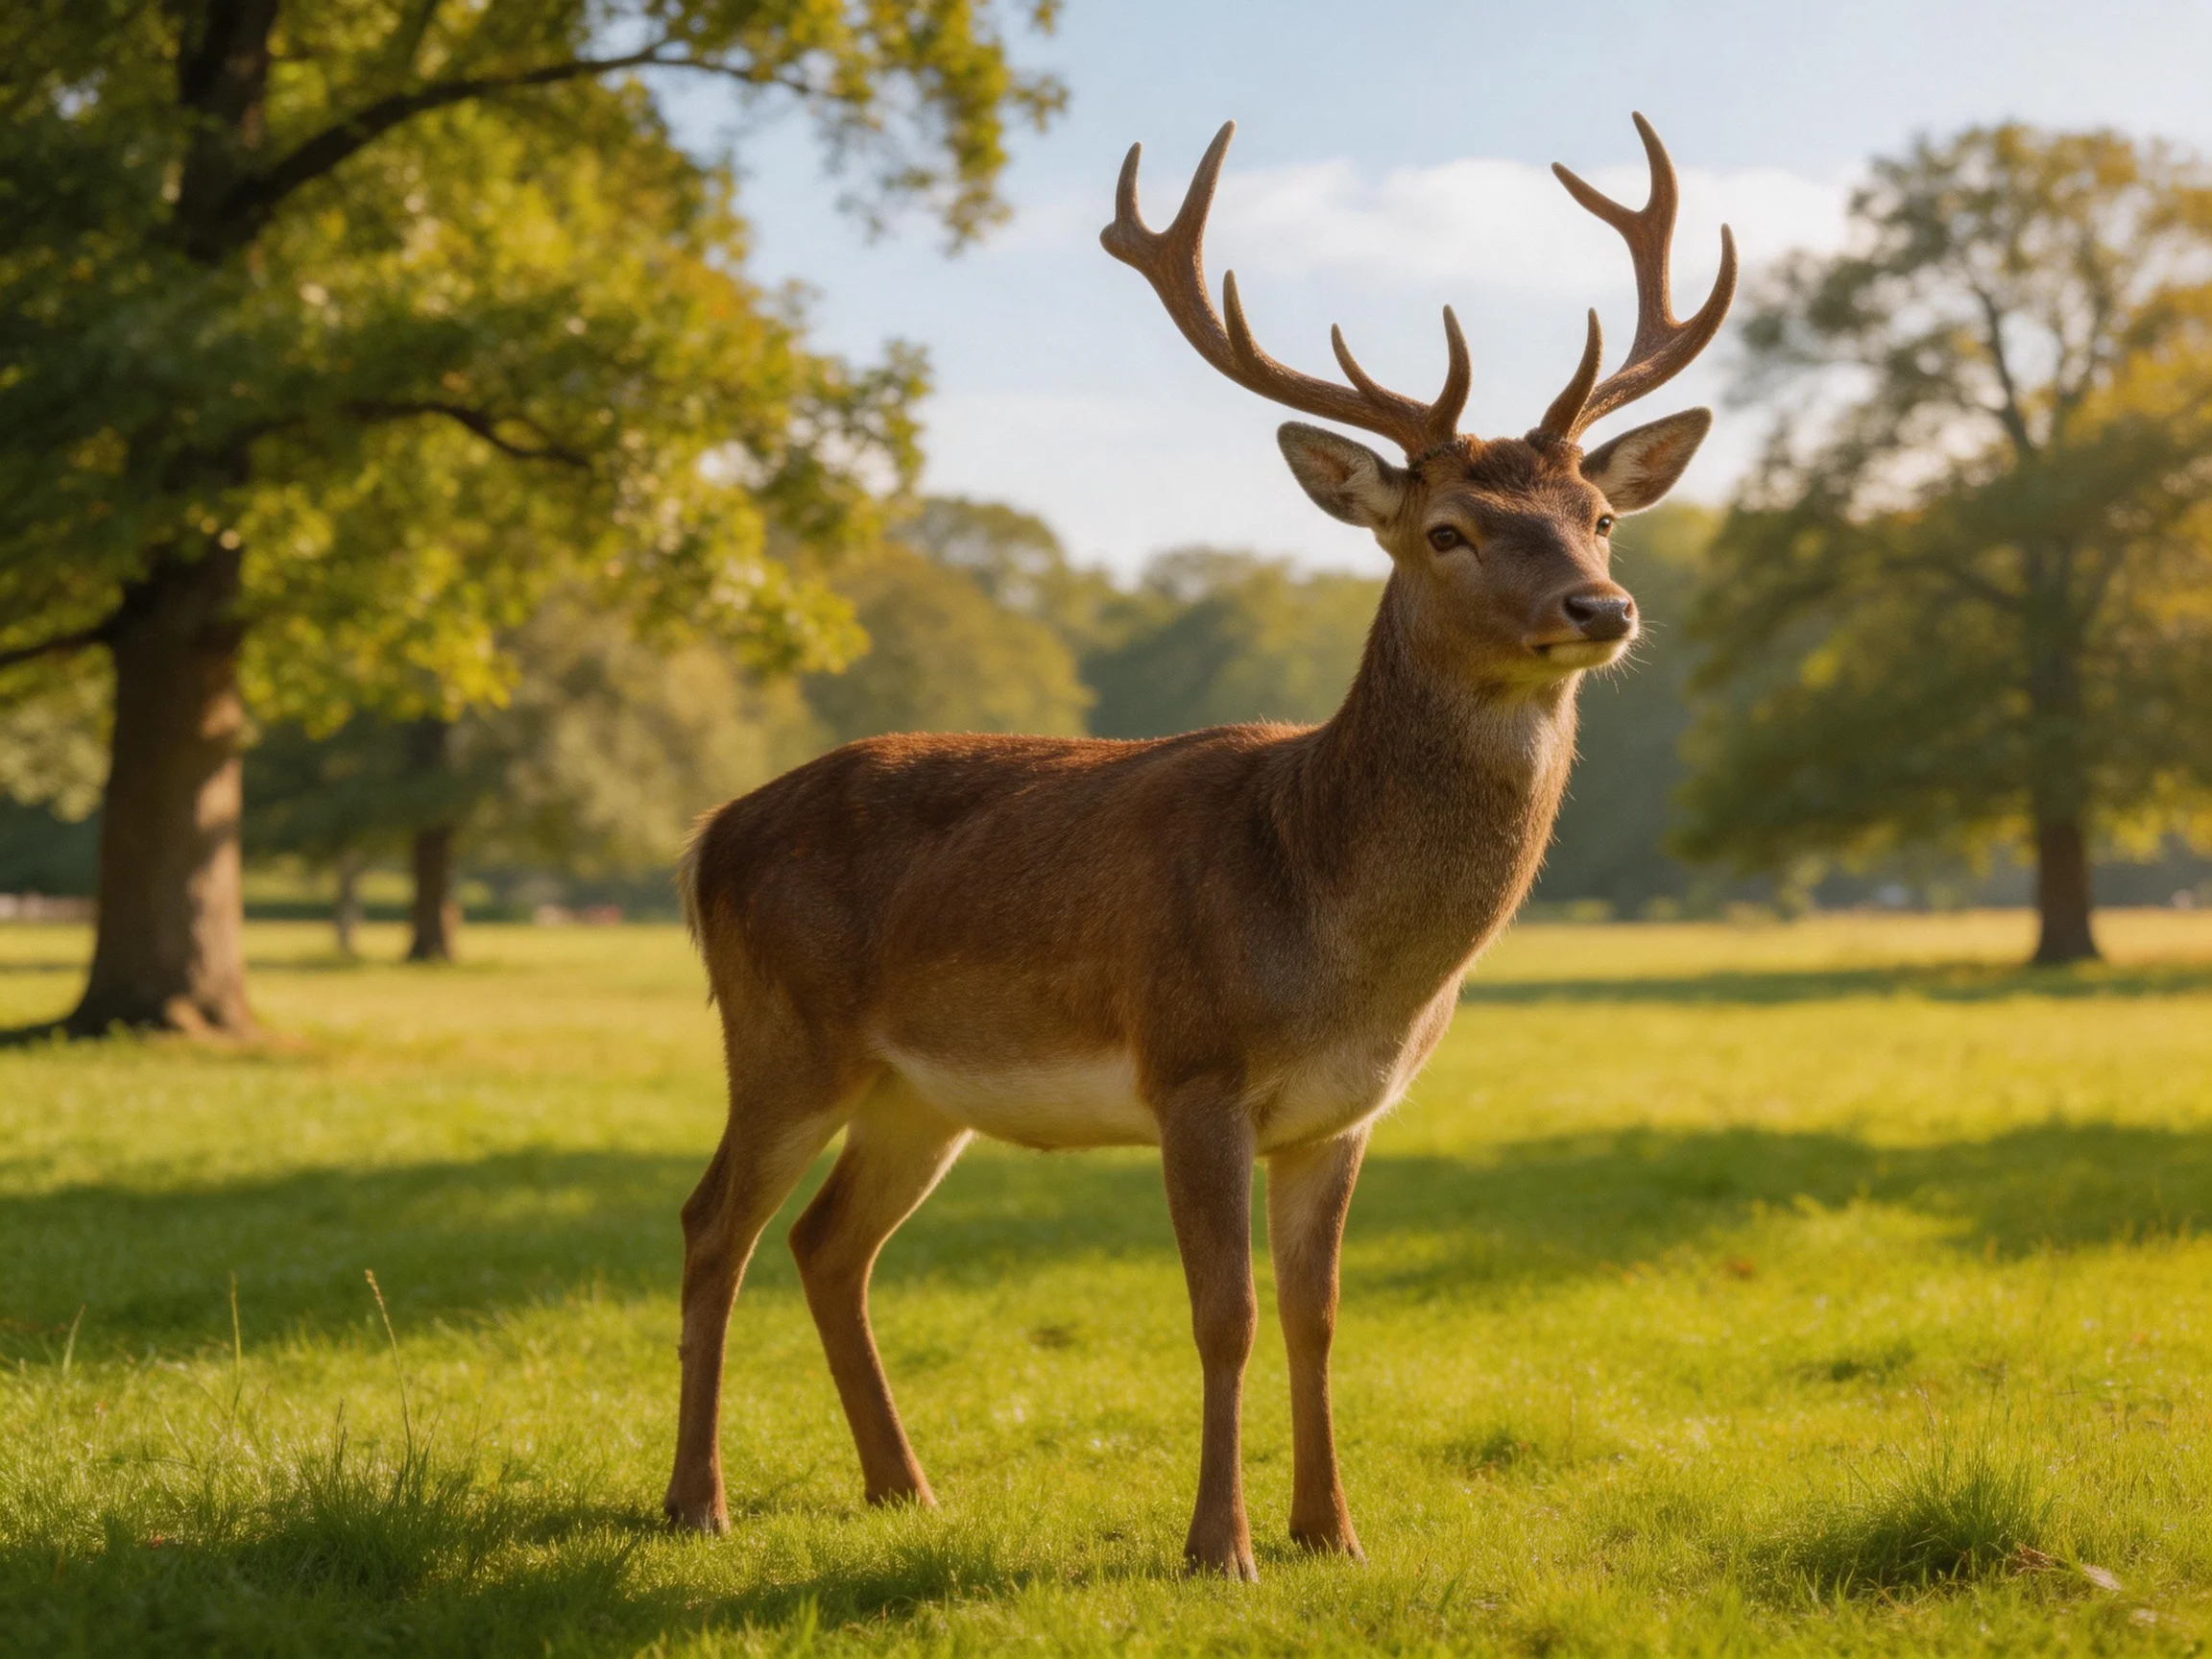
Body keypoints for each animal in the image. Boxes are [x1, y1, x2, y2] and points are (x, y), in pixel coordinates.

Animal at [663, 113, 1735, 1579]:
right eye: (1447, 530)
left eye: (1603, 516)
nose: (1602, 606)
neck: (1335, 934)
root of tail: (709, 834)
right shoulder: (1192, 1065)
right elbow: (1223, 1315)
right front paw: (1217, 1546)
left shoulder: (1346, 1112)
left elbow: (1318, 1316)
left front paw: (1333, 1531)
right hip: (782, 1032)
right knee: (713, 1221)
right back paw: (695, 1501)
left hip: (917, 1092)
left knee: (830, 1243)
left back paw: (905, 1489)